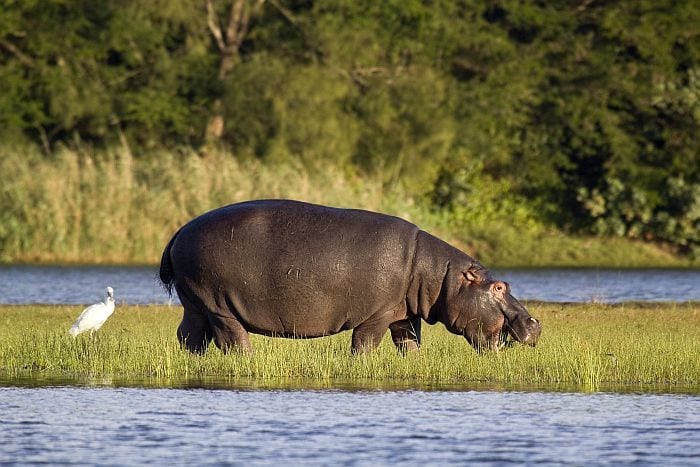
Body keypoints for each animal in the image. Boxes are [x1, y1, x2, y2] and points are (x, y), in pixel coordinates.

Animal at [160, 200, 540, 354]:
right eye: (499, 287)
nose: (535, 323)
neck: (438, 276)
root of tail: (179, 231)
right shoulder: (377, 314)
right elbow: (365, 345)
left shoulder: (403, 315)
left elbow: (410, 345)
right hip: (218, 304)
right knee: (232, 340)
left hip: (195, 302)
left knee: (189, 336)